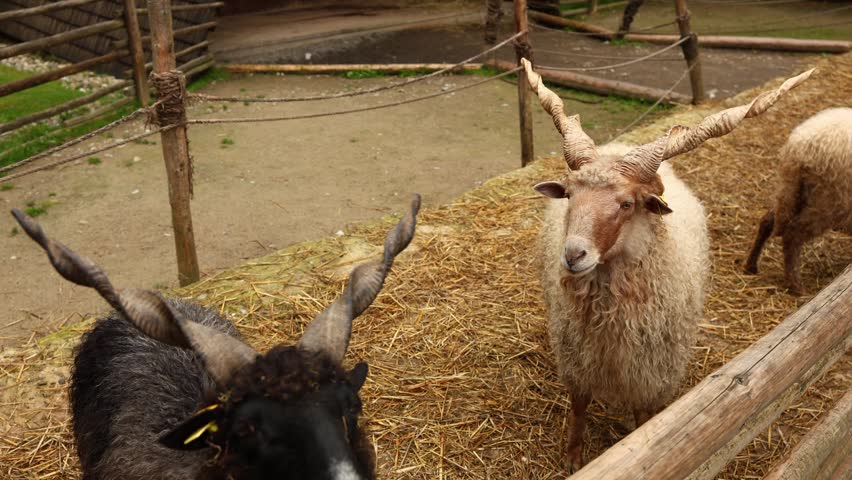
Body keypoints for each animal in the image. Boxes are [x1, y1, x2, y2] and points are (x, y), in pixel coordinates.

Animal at [522, 58, 813, 471]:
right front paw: (575, 458)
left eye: (627, 204)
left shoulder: (652, 373)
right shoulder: (578, 357)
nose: (573, 254)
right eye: (569, 195)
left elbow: (644, 419)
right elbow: (579, 406)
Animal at [744, 107, 852, 294]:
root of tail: (797, 149)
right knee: (792, 234)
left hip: (794, 192)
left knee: (767, 221)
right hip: (829, 200)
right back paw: (796, 286)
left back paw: (751, 266)